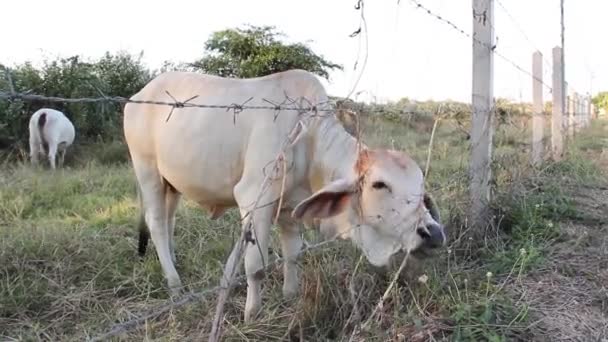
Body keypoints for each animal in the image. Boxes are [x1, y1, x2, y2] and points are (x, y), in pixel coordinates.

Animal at [123, 68, 446, 322]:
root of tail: (138, 95)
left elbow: (293, 255)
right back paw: (174, 283)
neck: (307, 136)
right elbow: (256, 267)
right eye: (380, 184)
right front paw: (251, 315)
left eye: (421, 185)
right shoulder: (254, 200)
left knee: (168, 221)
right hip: (147, 170)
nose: (434, 234)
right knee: (156, 224)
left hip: (172, 184)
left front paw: (290, 296)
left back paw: (174, 263)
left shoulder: (291, 207)